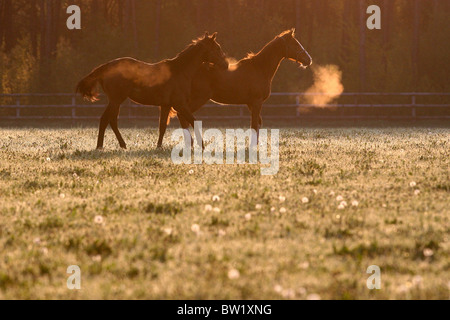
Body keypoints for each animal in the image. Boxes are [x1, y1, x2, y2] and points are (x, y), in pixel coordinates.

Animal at [76, 32, 229, 150]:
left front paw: (159, 146)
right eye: (217, 48)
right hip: (116, 100)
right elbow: (193, 121)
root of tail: (106, 67)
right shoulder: (180, 105)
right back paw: (100, 146)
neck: (179, 71)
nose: (226, 65)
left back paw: (121, 145)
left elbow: (162, 126)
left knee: (111, 120)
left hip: (116, 101)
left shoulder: (166, 105)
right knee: (106, 120)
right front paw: (202, 145)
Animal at [158, 28, 312, 148]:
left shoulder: (251, 104)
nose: (308, 59)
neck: (260, 68)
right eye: (295, 44)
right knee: (182, 115)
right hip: (199, 99)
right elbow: (254, 124)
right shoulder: (256, 102)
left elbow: (258, 123)